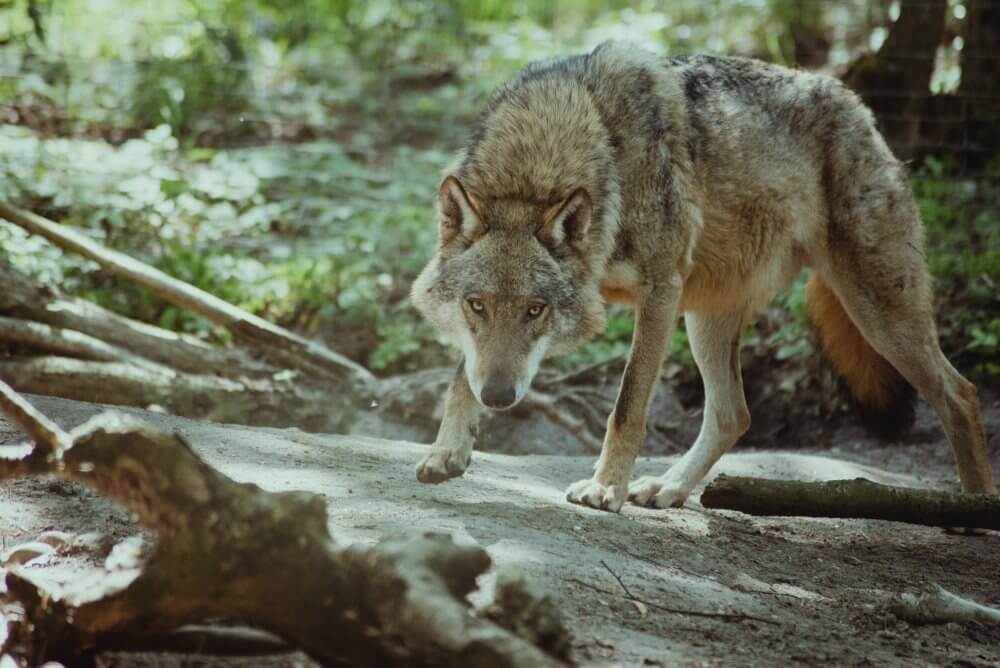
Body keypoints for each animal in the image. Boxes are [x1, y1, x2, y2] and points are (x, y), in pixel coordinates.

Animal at [408, 40, 1000, 512]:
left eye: (536, 310)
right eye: (476, 306)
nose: (500, 397)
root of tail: (855, 102)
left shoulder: (659, 293)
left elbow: (626, 407)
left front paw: (605, 489)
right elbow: (461, 375)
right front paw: (447, 450)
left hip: (877, 311)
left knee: (961, 394)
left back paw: (971, 512)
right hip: (708, 320)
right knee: (734, 414)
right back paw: (667, 489)